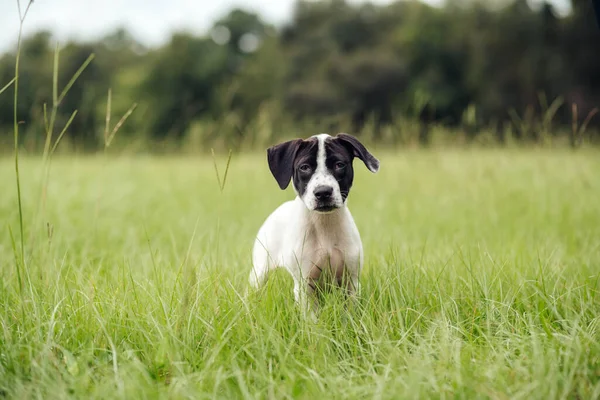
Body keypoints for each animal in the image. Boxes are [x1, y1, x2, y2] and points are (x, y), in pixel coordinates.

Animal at [248, 133, 380, 310]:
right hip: (260, 272)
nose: (323, 192)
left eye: (339, 165)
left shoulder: (351, 282)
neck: (324, 224)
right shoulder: (305, 285)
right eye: (304, 167)